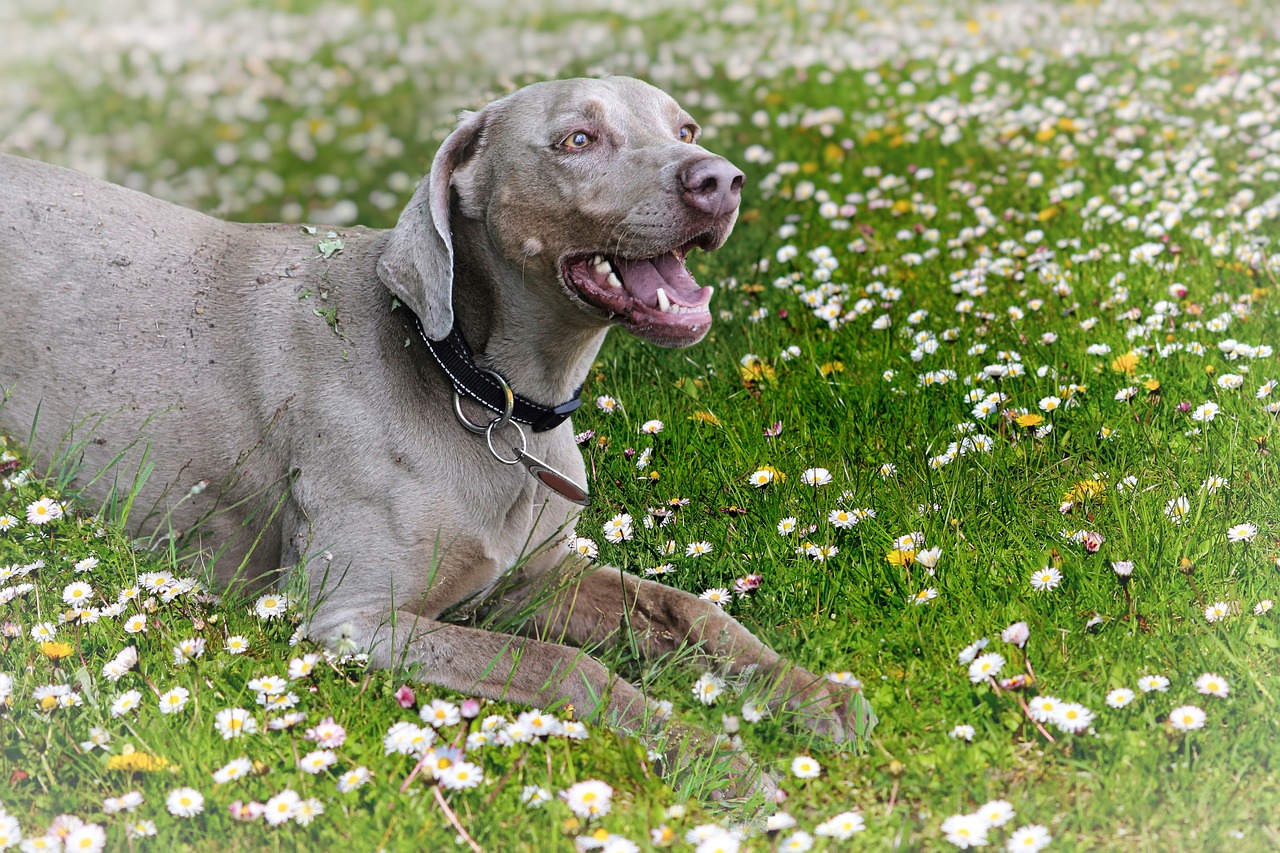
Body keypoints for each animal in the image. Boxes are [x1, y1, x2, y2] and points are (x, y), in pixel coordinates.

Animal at [0, 76, 870, 794]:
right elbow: (565, 665)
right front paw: (710, 756)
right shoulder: (351, 618)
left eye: (685, 127)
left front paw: (813, 693)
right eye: (577, 140)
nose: (718, 178)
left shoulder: (536, 574)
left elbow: (693, 610)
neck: (484, 392)